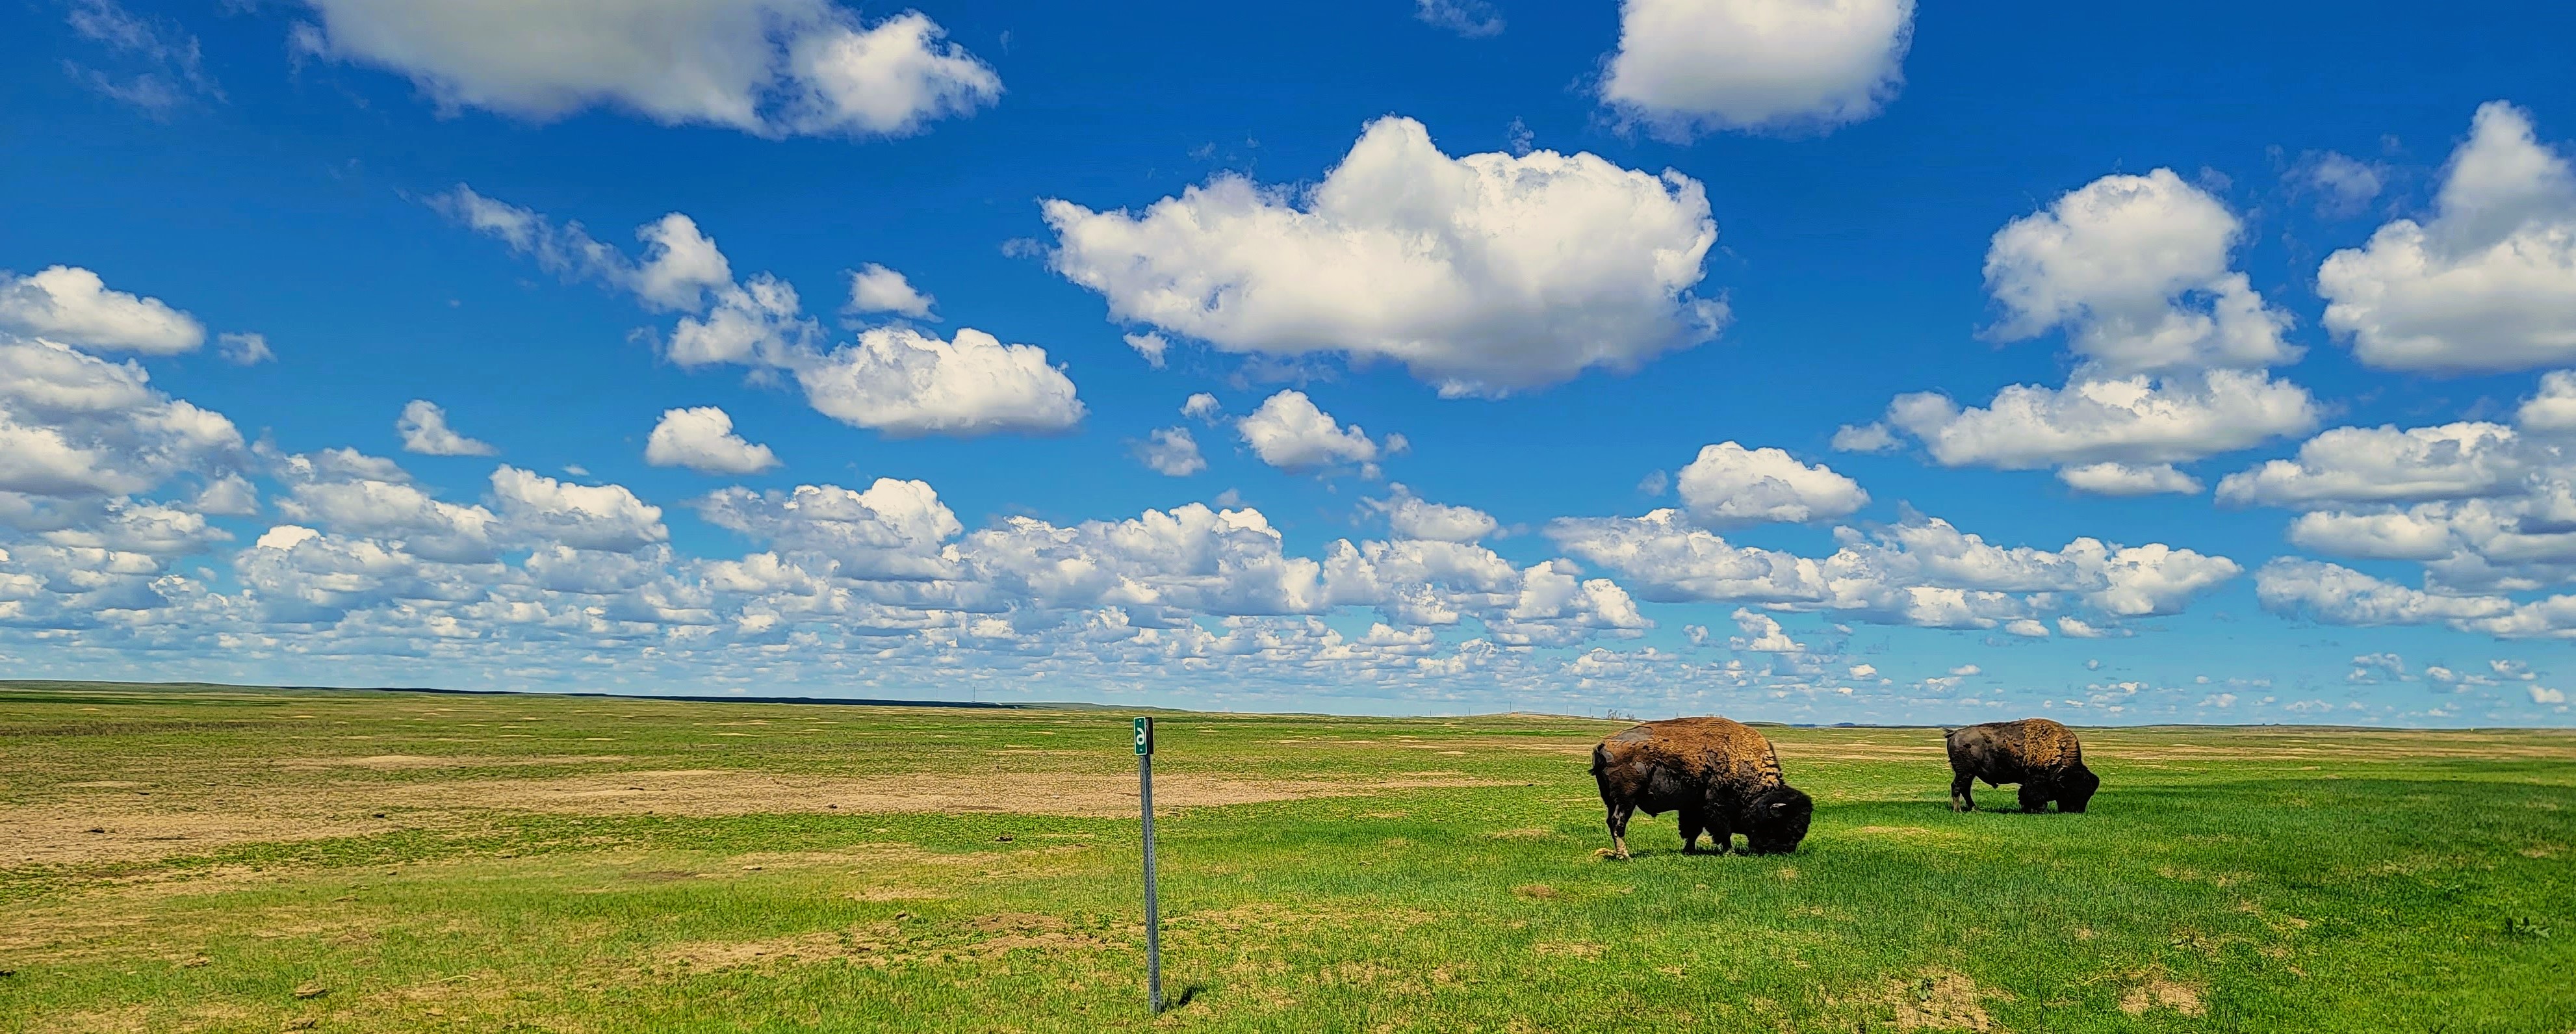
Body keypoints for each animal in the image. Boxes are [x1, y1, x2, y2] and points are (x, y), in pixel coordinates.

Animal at [1591, 716, 1813, 859]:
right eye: (1785, 825)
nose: (1785, 851)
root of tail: (1603, 744)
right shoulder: (1717, 805)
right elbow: (1722, 830)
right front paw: (1730, 852)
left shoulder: (1694, 806)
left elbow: (1693, 829)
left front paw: (1689, 850)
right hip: (1626, 800)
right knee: (1618, 823)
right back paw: (1625, 855)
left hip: (1611, 800)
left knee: (1611, 822)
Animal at [1945, 718, 2099, 813]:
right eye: (2069, 791)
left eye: (2089, 793)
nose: (2076, 811)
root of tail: (1955, 734)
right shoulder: (2035, 780)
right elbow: (2036, 796)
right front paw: (2040, 810)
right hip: (1965, 772)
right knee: (1957, 787)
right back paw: (1958, 810)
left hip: (1969, 773)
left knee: (1965, 789)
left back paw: (1975, 809)